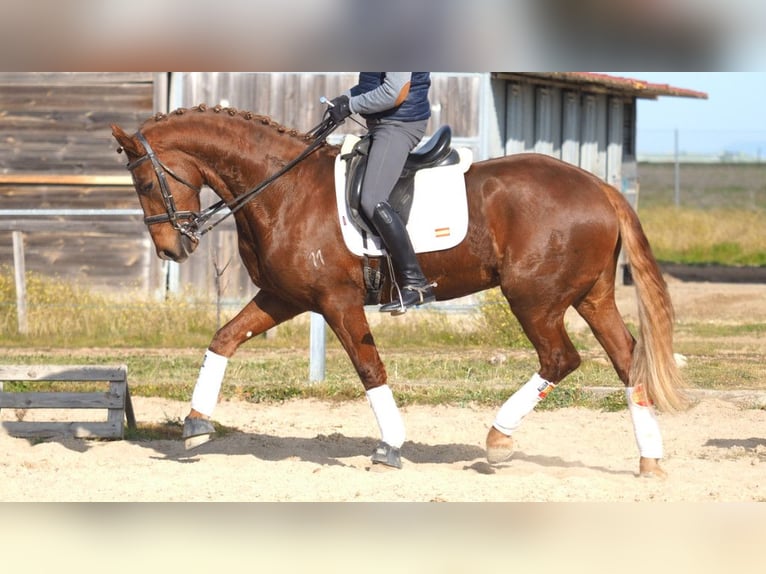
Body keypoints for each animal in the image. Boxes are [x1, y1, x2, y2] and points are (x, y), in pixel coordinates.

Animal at [109, 106, 688, 480]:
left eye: (146, 184)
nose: (171, 249)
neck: (282, 189)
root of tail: (601, 187)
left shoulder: (336, 302)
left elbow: (370, 370)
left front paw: (390, 445)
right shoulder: (284, 298)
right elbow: (224, 339)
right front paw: (196, 423)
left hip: (535, 299)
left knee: (560, 359)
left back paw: (498, 439)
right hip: (591, 296)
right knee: (627, 361)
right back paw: (650, 461)